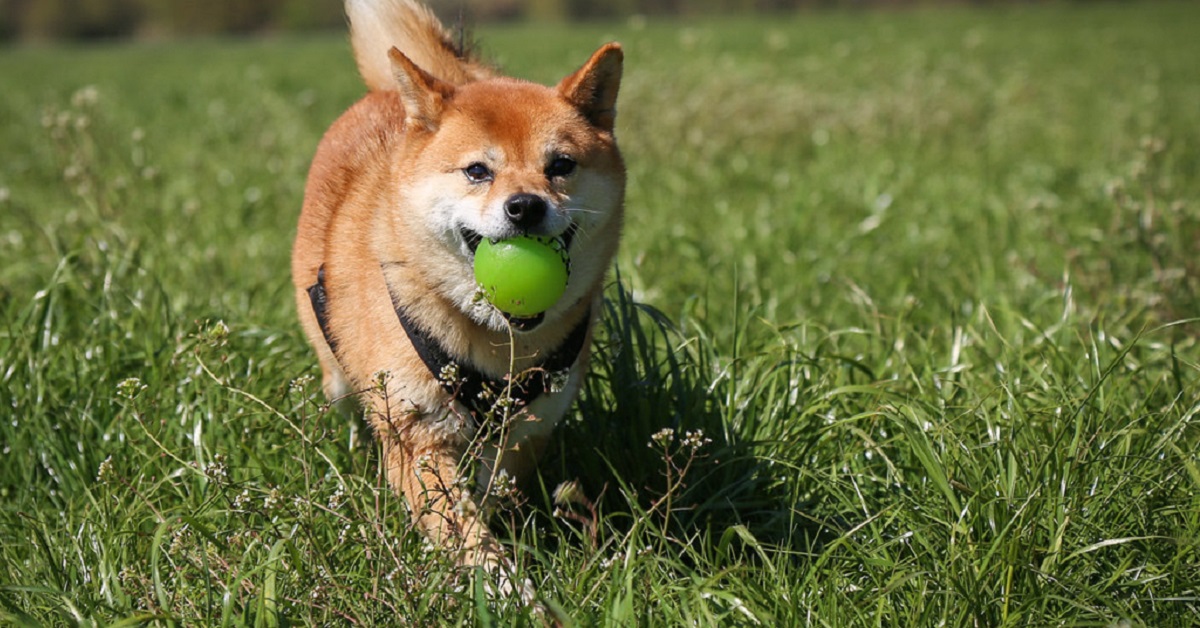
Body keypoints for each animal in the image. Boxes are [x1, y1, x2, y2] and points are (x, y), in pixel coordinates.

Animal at [291, 0, 628, 590]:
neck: (497, 343)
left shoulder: (526, 432)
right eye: (477, 171)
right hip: (337, 371)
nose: (525, 206)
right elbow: (465, 531)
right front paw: (507, 592)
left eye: (560, 166)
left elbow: (492, 497)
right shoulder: (418, 435)